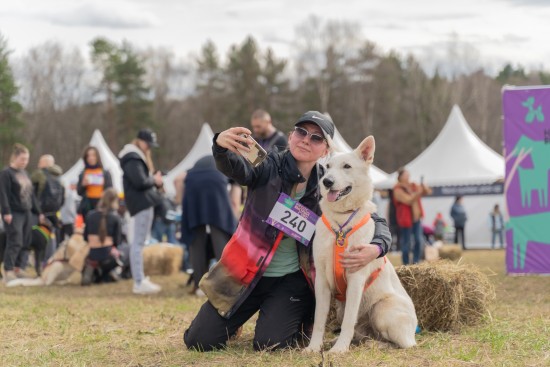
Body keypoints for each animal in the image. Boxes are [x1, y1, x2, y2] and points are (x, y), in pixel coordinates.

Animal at [306, 135, 418, 354]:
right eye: (328, 167)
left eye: (347, 166)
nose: (327, 181)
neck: (341, 223)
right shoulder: (321, 280)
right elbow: (319, 320)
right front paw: (314, 348)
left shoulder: (356, 280)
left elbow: (349, 322)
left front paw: (340, 350)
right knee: (361, 334)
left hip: (381, 310)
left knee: (404, 344)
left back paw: (376, 344)